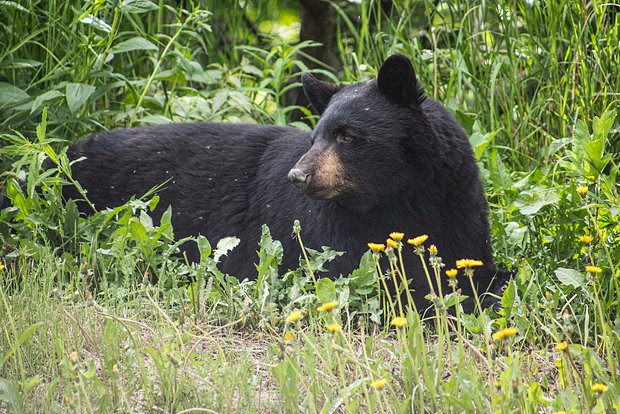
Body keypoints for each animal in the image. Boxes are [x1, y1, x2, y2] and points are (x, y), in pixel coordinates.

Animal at [61, 55, 508, 308]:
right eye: (316, 136)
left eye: (347, 136)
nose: (298, 175)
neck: (398, 198)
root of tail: (69, 151)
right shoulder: (326, 234)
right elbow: (362, 277)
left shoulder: (457, 203)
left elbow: (474, 263)